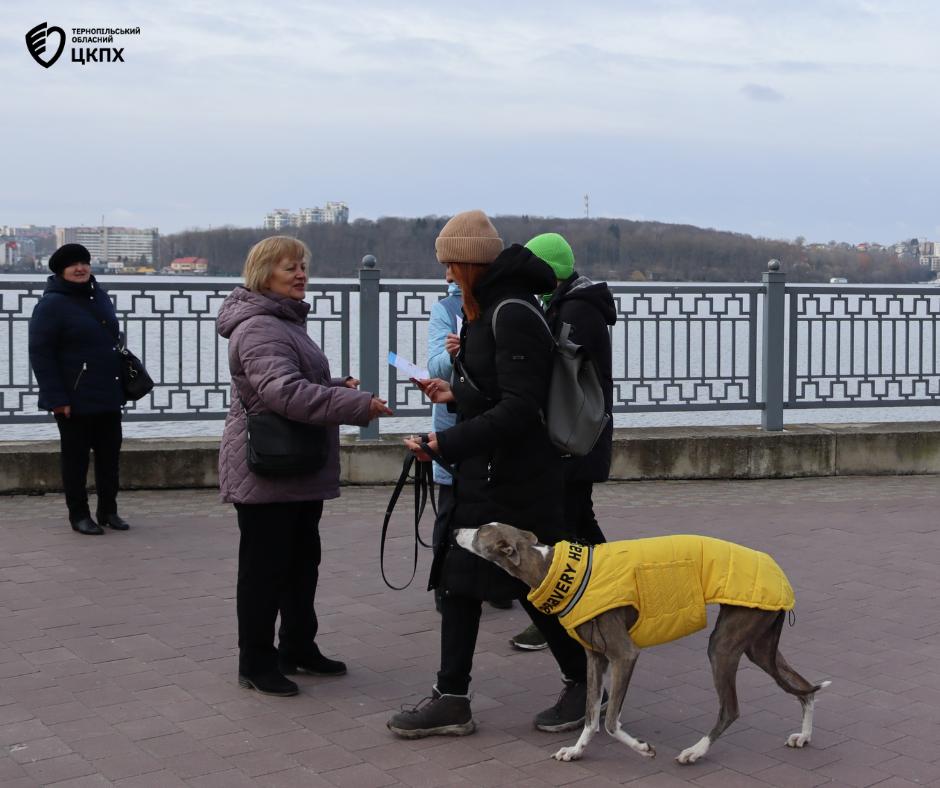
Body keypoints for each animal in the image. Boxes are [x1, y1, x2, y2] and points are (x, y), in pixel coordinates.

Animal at [458, 524, 828, 764]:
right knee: (805, 689)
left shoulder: (624, 654)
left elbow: (610, 723)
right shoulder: (596, 657)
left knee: (731, 709)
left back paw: (696, 751)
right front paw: (576, 750)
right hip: (759, 646)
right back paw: (804, 736)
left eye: (480, 531)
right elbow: (592, 715)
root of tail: (781, 578)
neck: (555, 569)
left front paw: (642, 748)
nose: (455, 531)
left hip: (723, 646)